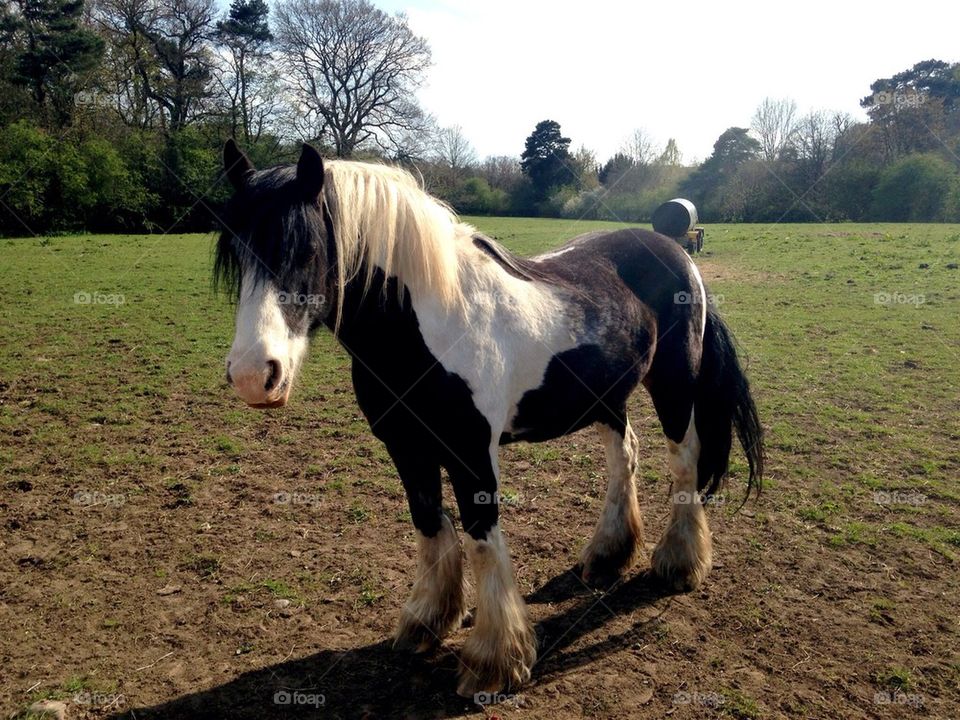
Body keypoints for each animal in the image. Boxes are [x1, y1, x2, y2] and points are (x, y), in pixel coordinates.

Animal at [213, 140, 764, 698]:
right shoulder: (405, 446)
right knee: (623, 456)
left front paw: (496, 659)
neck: (428, 325)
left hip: (674, 388)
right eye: (234, 251)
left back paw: (679, 564)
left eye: (305, 250)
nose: (253, 375)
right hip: (607, 397)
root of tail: (677, 252)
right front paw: (427, 621)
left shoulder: (471, 451)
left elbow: (482, 541)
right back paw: (608, 554)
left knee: (684, 462)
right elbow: (430, 526)